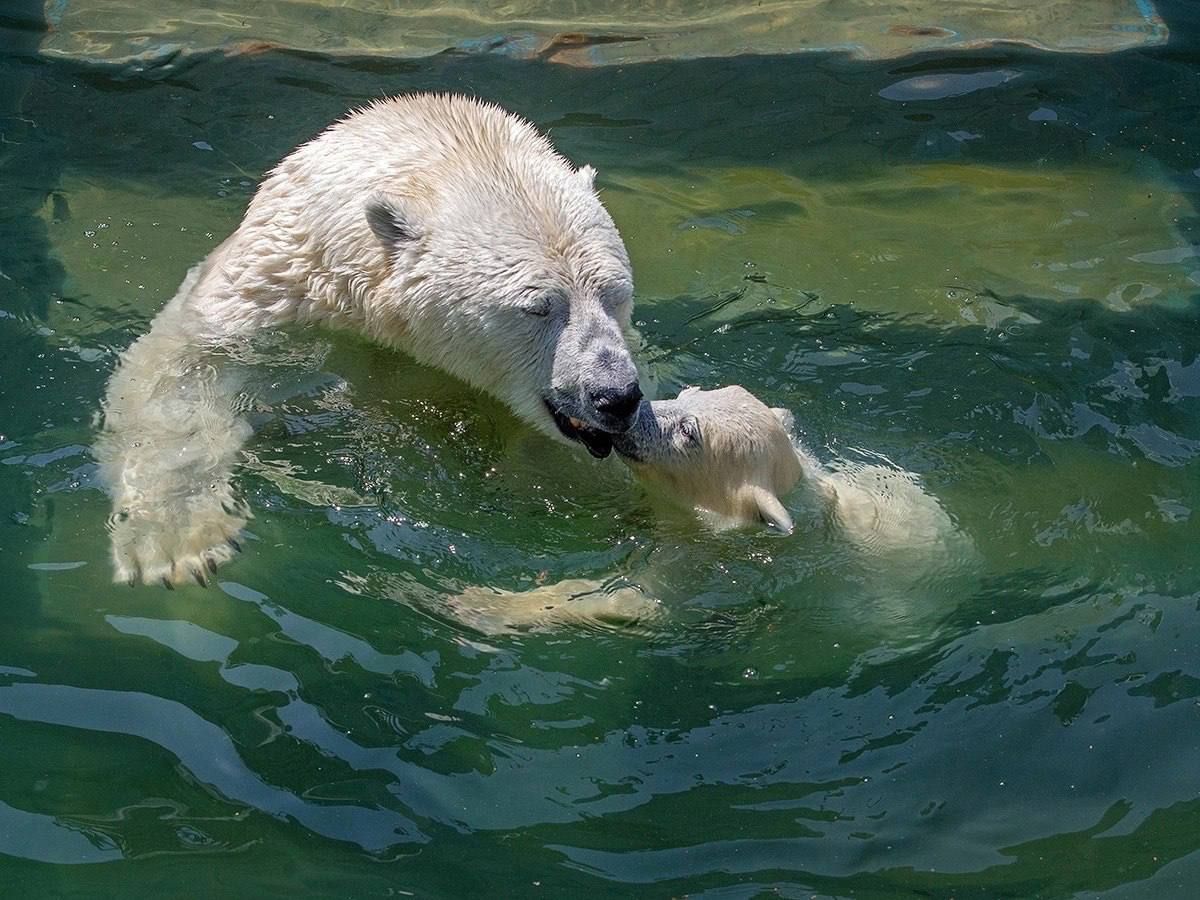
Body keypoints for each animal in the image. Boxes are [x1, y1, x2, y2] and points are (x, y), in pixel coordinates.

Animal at [97, 95, 643, 588]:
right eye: (538, 306)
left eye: (614, 293)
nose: (616, 395)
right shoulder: (273, 296)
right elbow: (183, 373)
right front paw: (178, 543)